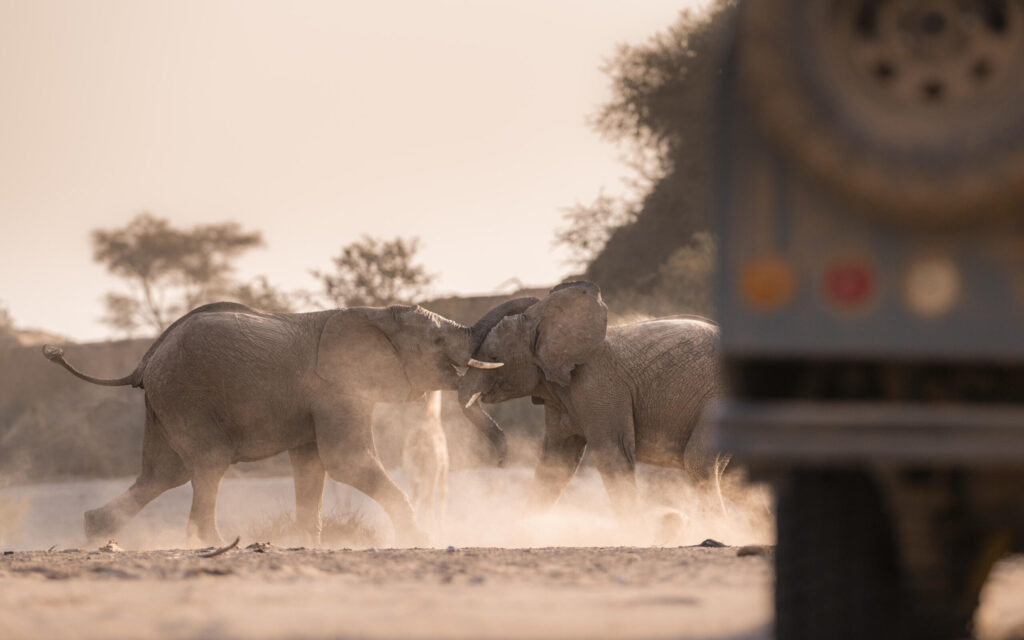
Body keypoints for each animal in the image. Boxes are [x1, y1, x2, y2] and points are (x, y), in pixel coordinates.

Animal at [42, 298, 535, 547]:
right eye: (435, 340)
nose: (502, 458)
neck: (372, 312)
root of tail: (145, 360)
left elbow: (313, 467)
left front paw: (310, 545)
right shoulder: (338, 386)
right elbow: (345, 460)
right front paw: (422, 537)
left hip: (165, 402)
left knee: (163, 474)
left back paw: (94, 531)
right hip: (186, 396)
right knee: (206, 466)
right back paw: (214, 542)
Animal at [458, 281, 726, 519]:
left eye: (493, 357)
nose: (500, 463)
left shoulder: (599, 384)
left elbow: (613, 453)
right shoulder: (559, 396)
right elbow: (557, 461)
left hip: (716, 399)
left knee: (697, 462)